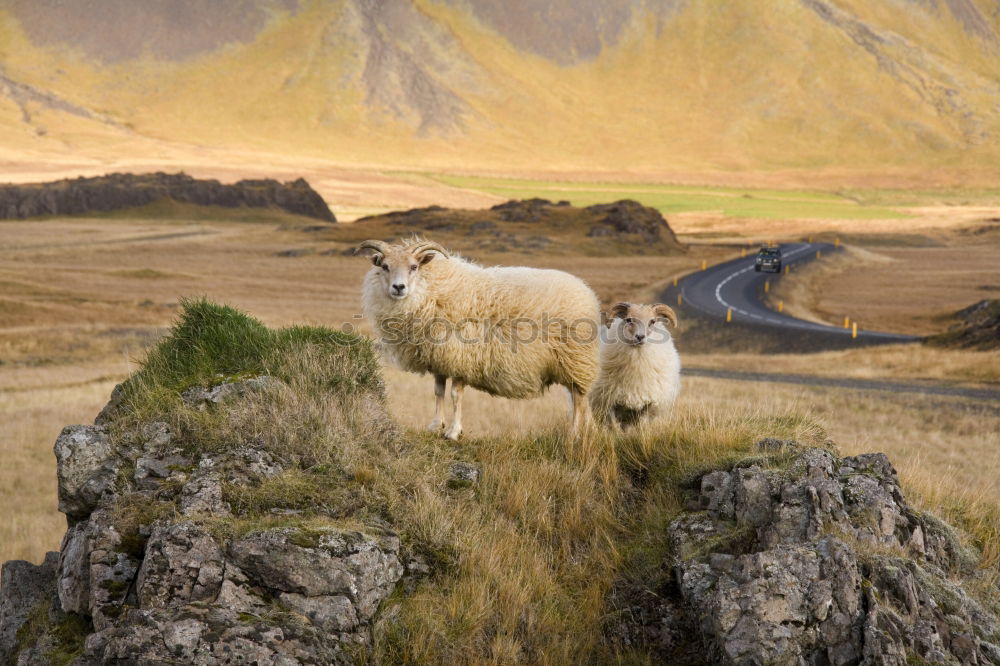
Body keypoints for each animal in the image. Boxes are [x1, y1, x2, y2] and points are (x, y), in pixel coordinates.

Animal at [358, 236, 596, 438]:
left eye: (414, 267)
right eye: (385, 266)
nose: (399, 287)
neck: (431, 291)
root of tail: (585, 290)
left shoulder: (461, 357)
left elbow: (455, 395)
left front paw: (454, 432)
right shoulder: (439, 358)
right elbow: (438, 392)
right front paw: (436, 425)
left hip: (576, 360)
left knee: (579, 399)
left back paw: (575, 435)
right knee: (578, 399)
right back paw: (584, 432)